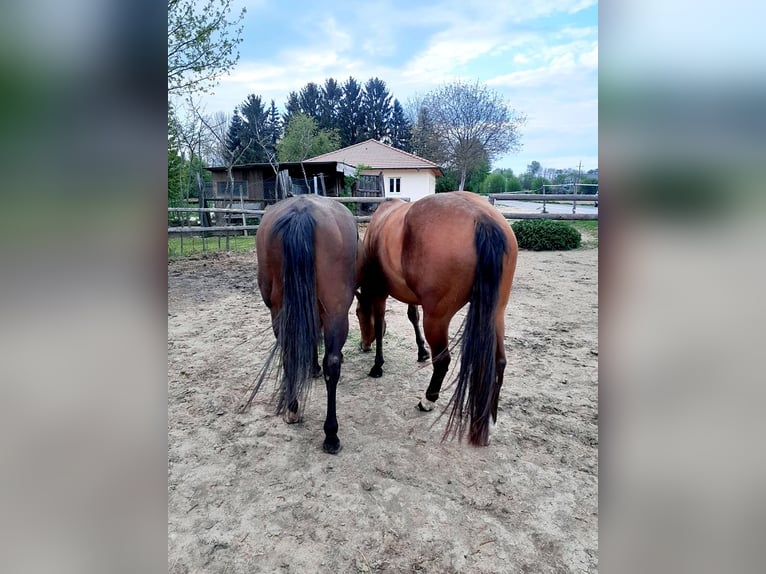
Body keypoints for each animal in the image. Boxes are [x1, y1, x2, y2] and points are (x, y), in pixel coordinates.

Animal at [249, 194, 358, 454]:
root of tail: (301, 211)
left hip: (279, 311)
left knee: (288, 353)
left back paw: (292, 408)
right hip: (337, 312)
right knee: (332, 364)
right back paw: (331, 435)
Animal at [356, 191, 518, 446]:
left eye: (358, 313)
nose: (363, 345)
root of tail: (483, 218)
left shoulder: (379, 293)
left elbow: (380, 323)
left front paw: (377, 365)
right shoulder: (411, 296)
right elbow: (412, 315)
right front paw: (421, 351)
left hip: (437, 319)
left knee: (443, 361)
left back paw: (428, 400)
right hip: (497, 312)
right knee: (499, 361)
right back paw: (488, 416)